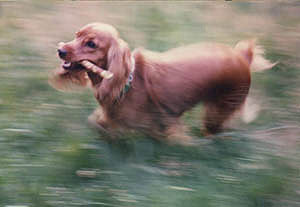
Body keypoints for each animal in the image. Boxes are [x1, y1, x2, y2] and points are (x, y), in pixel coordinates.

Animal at [49, 22, 276, 142]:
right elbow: (97, 124)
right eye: (76, 35)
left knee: (213, 130)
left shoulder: (158, 124)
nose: (60, 50)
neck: (127, 82)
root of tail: (242, 57)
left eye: (91, 44)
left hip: (217, 111)